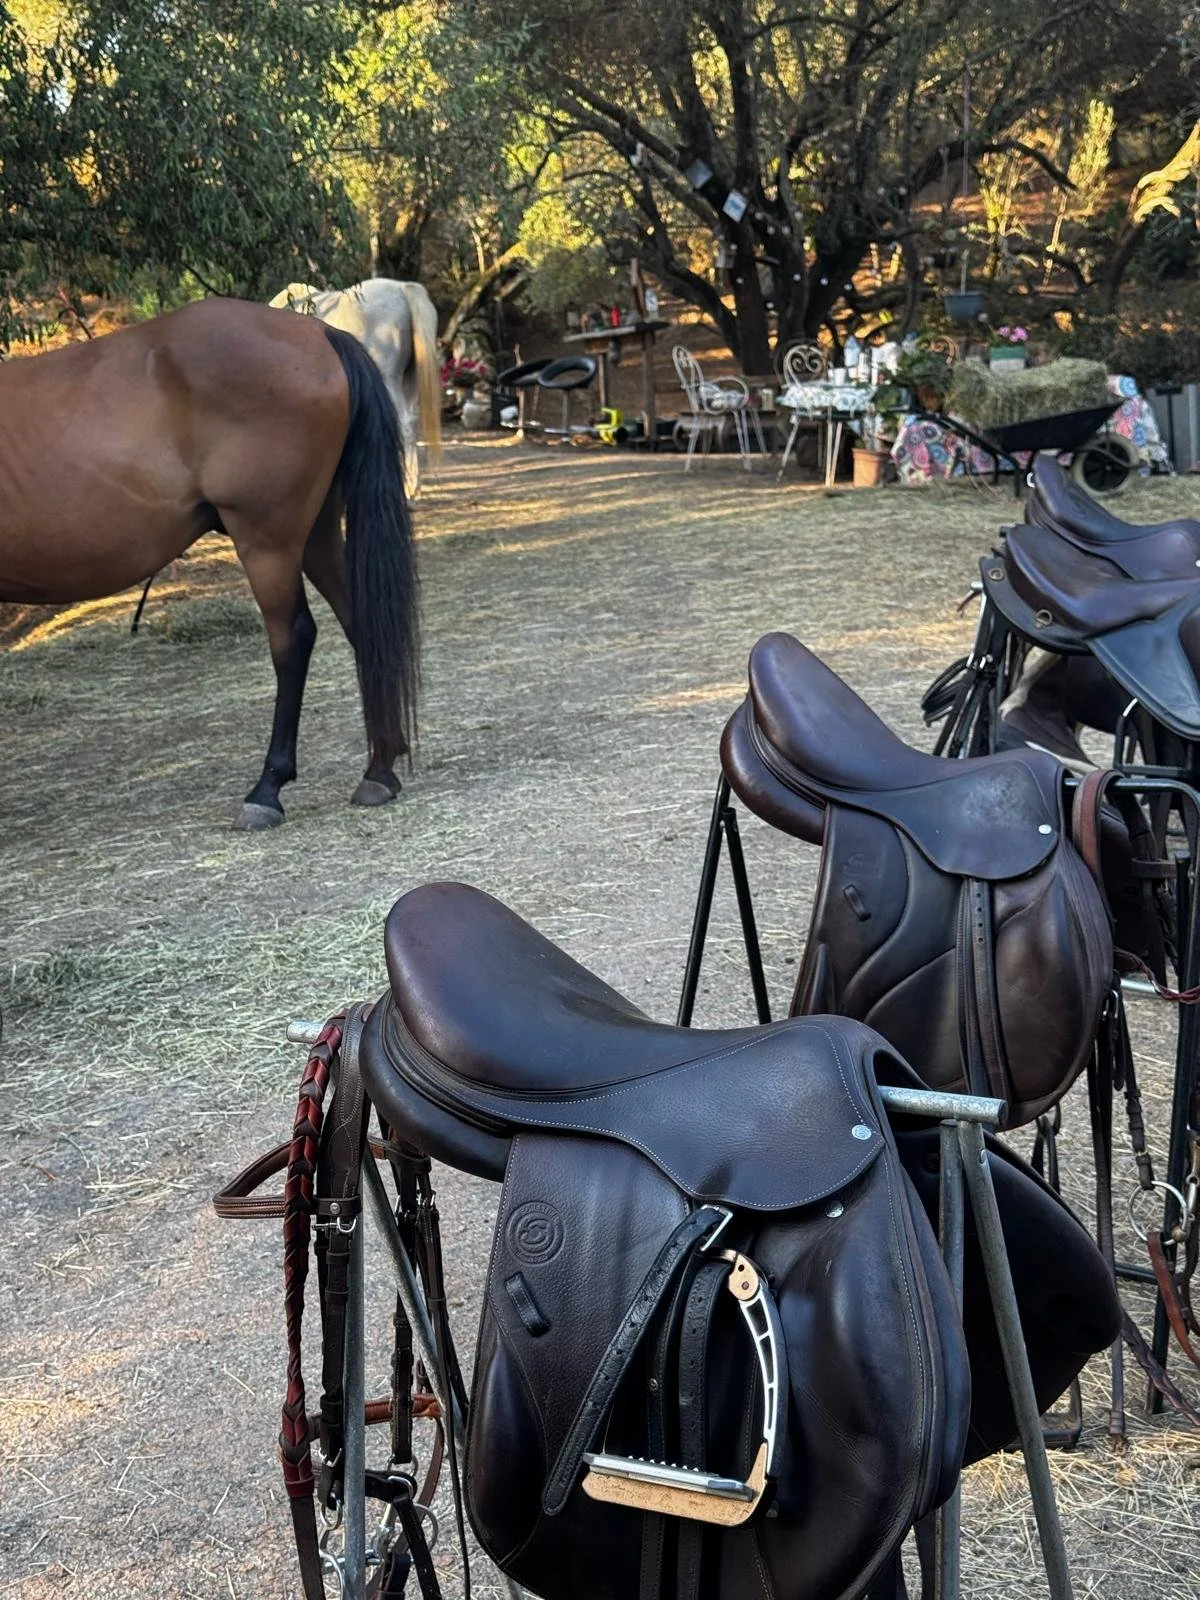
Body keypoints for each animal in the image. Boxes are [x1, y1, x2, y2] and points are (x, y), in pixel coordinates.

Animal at [0, 298, 420, 830]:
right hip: (316, 534)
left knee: (293, 639)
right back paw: (380, 769)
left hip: (268, 541)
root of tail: (320, 333)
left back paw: (267, 789)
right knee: (363, 624)